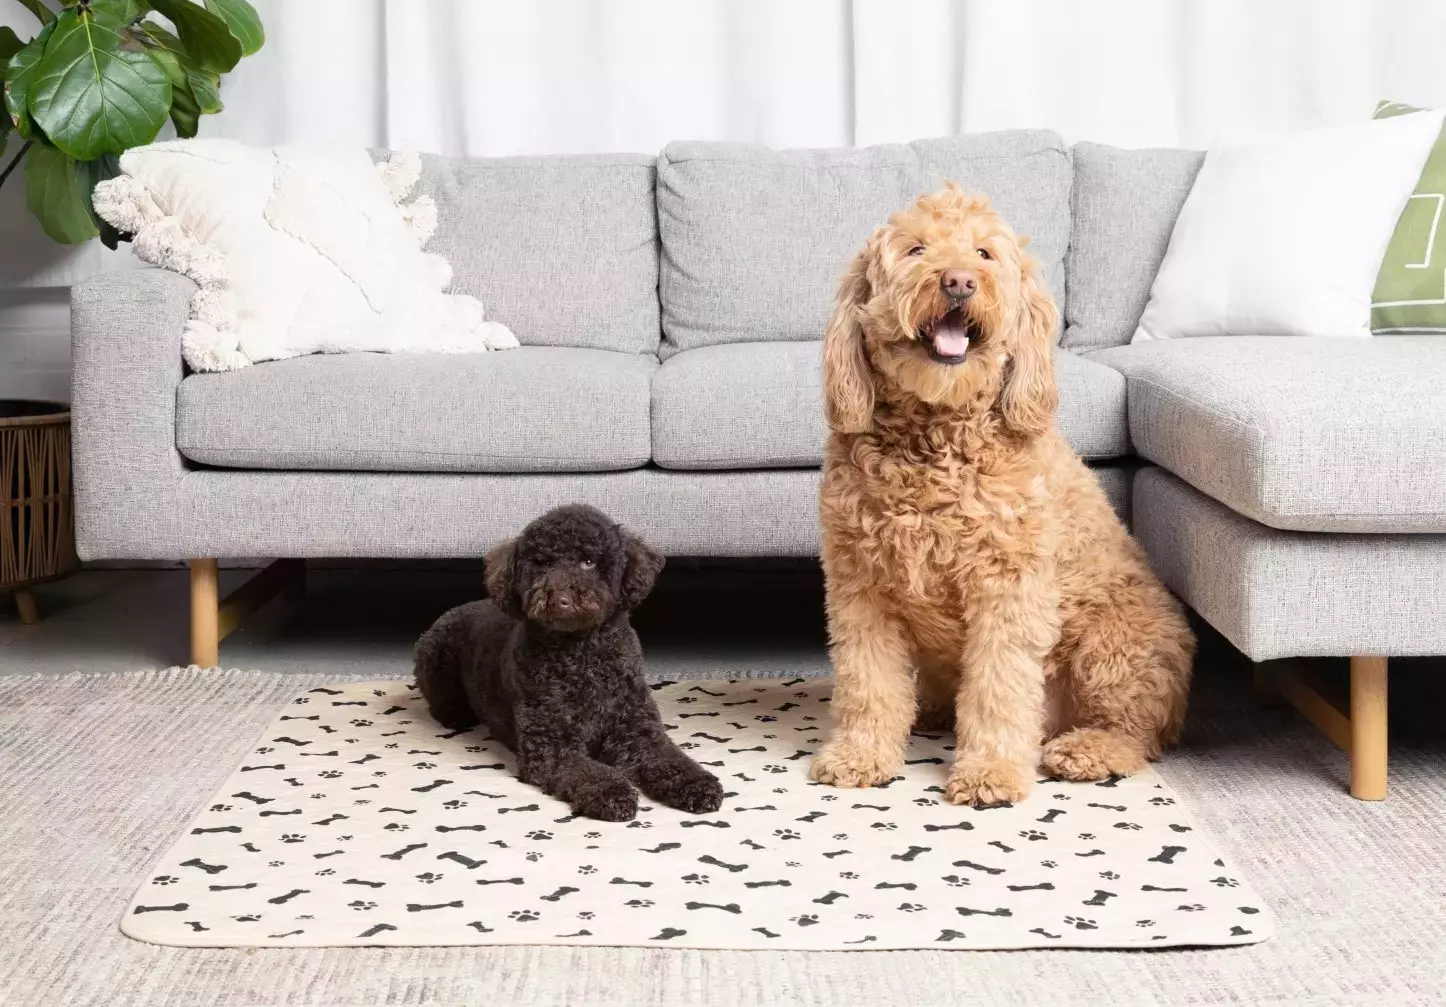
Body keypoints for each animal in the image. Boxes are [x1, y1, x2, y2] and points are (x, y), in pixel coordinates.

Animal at [809, 185, 1191, 804]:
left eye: (985, 254)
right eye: (916, 249)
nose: (959, 281)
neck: (936, 435)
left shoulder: (1007, 590)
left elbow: (999, 687)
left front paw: (990, 772)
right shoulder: (861, 587)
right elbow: (868, 683)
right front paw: (860, 754)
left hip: (1113, 644)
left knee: (1136, 731)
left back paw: (1088, 749)